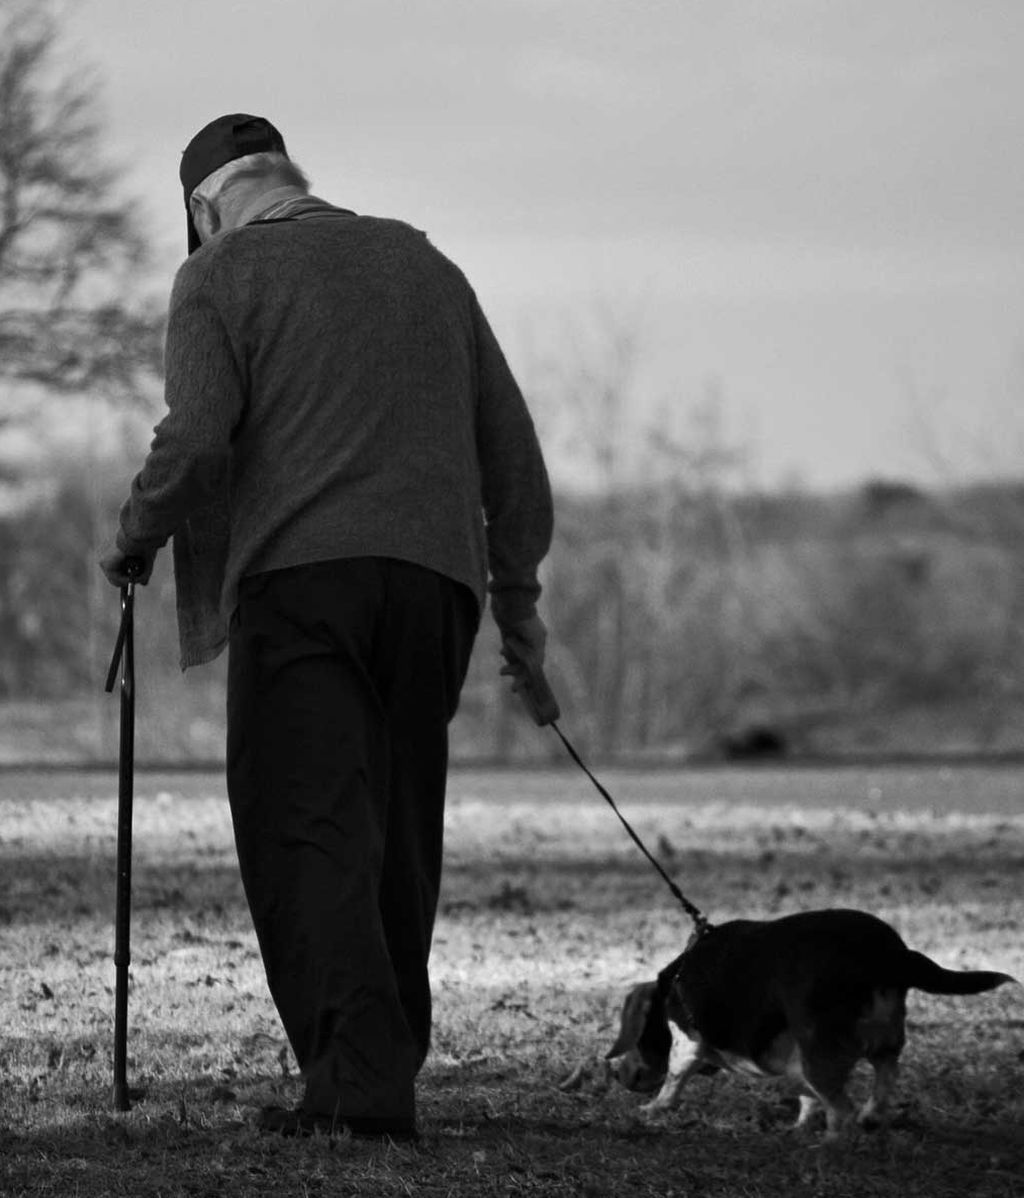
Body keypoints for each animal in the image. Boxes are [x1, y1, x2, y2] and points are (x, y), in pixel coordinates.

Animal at [603, 905, 1010, 1140]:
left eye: (639, 1039)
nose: (618, 1075)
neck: (675, 979)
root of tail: (888, 953)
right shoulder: (795, 1060)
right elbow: (807, 1098)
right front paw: (799, 1125)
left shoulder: (687, 1043)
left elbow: (673, 1080)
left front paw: (653, 1110)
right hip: (881, 1041)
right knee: (882, 1080)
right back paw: (868, 1119)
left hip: (821, 1053)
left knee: (843, 1111)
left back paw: (828, 1145)